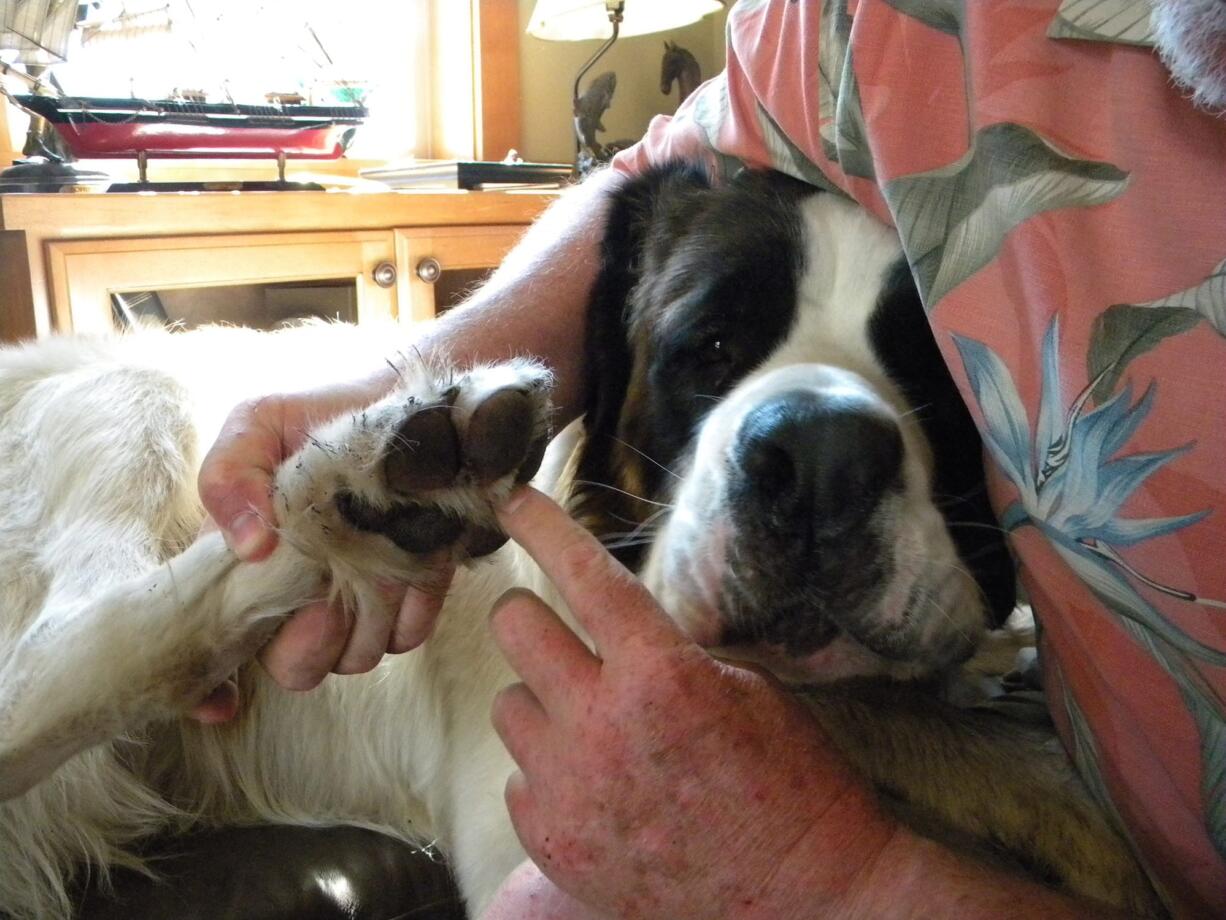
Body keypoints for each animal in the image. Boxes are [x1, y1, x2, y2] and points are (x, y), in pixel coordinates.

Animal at [0, 168, 1157, 920]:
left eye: (932, 383)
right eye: (712, 348)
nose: (822, 460)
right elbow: (874, 719)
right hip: (127, 394)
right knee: (70, 654)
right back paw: (368, 488)